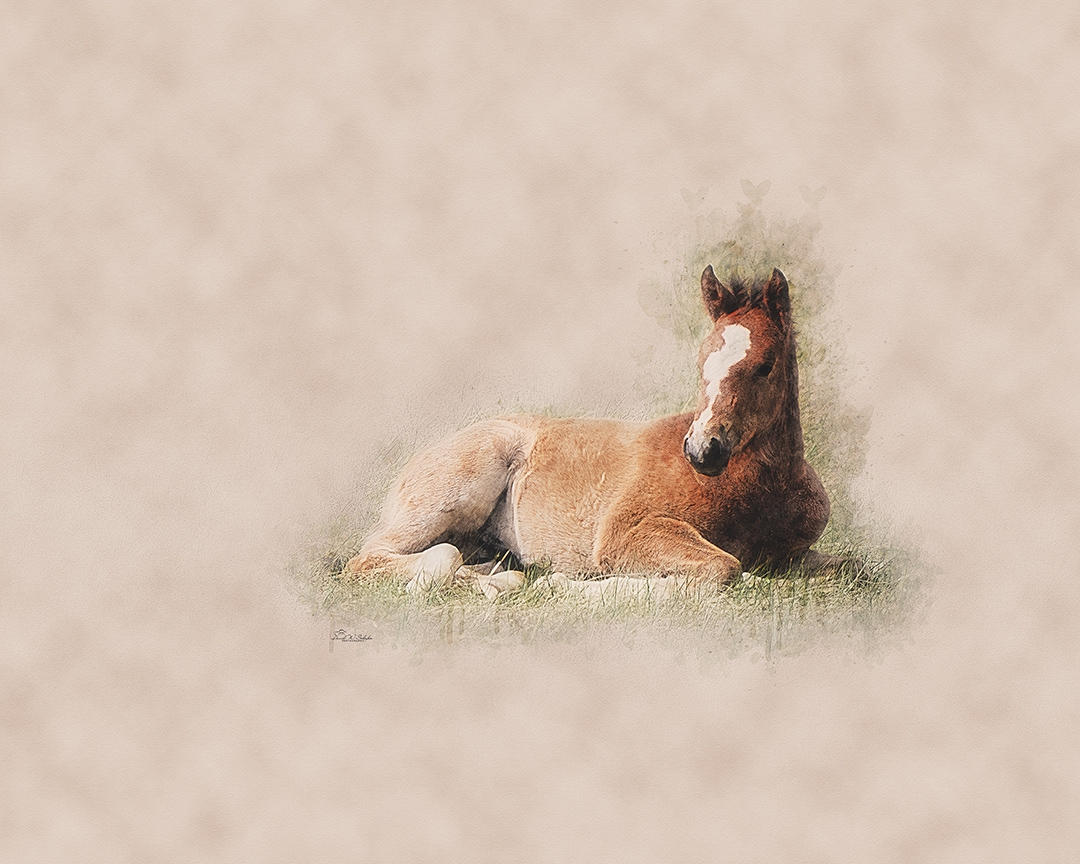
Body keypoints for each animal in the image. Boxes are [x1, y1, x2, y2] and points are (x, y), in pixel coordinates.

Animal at [345, 266, 832, 599]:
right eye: (701, 361)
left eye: (766, 366)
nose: (702, 451)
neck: (760, 493)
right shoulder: (626, 530)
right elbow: (723, 570)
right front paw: (564, 583)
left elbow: (836, 565)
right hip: (458, 483)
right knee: (376, 558)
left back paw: (494, 577)